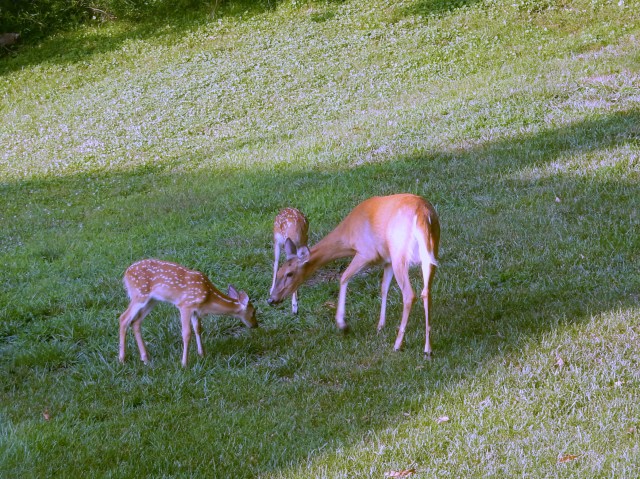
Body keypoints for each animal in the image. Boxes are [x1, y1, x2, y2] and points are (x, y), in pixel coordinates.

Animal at [118, 259, 258, 367]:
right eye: (253, 312)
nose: (255, 325)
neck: (208, 297)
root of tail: (126, 274)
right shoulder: (185, 305)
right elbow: (186, 333)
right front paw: (184, 363)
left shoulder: (195, 310)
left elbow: (198, 329)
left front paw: (202, 354)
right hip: (139, 294)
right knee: (123, 318)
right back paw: (122, 359)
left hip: (152, 300)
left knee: (136, 321)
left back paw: (145, 358)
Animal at [268, 194, 440, 357]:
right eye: (278, 272)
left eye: (289, 274)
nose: (271, 299)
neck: (348, 236)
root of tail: (423, 214)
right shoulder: (387, 259)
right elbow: (384, 288)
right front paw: (380, 326)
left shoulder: (367, 253)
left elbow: (344, 277)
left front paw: (342, 325)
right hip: (431, 250)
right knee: (427, 293)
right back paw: (428, 349)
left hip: (400, 251)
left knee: (410, 294)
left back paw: (398, 345)